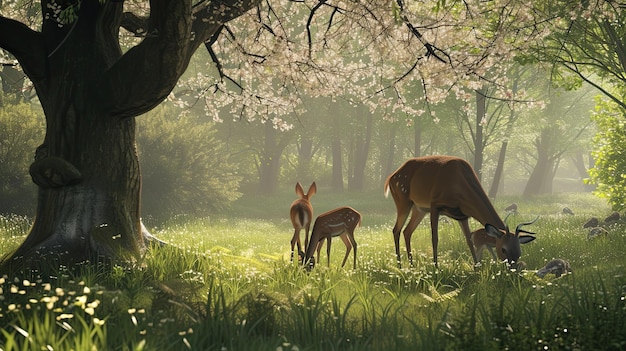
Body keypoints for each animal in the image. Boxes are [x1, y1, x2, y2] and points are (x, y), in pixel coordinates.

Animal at [380, 155, 536, 268]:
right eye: (503, 249)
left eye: (519, 251)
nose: (514, 270)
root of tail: (390, 178)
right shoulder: (435, 204)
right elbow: (435, 238)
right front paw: (436, 269)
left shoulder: (462, 216)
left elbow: (469, 241)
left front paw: (477, 268)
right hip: (403, 200)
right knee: (396, 229)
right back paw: (400, 266)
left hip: (419, 209)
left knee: (407, 231)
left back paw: (412, 266)